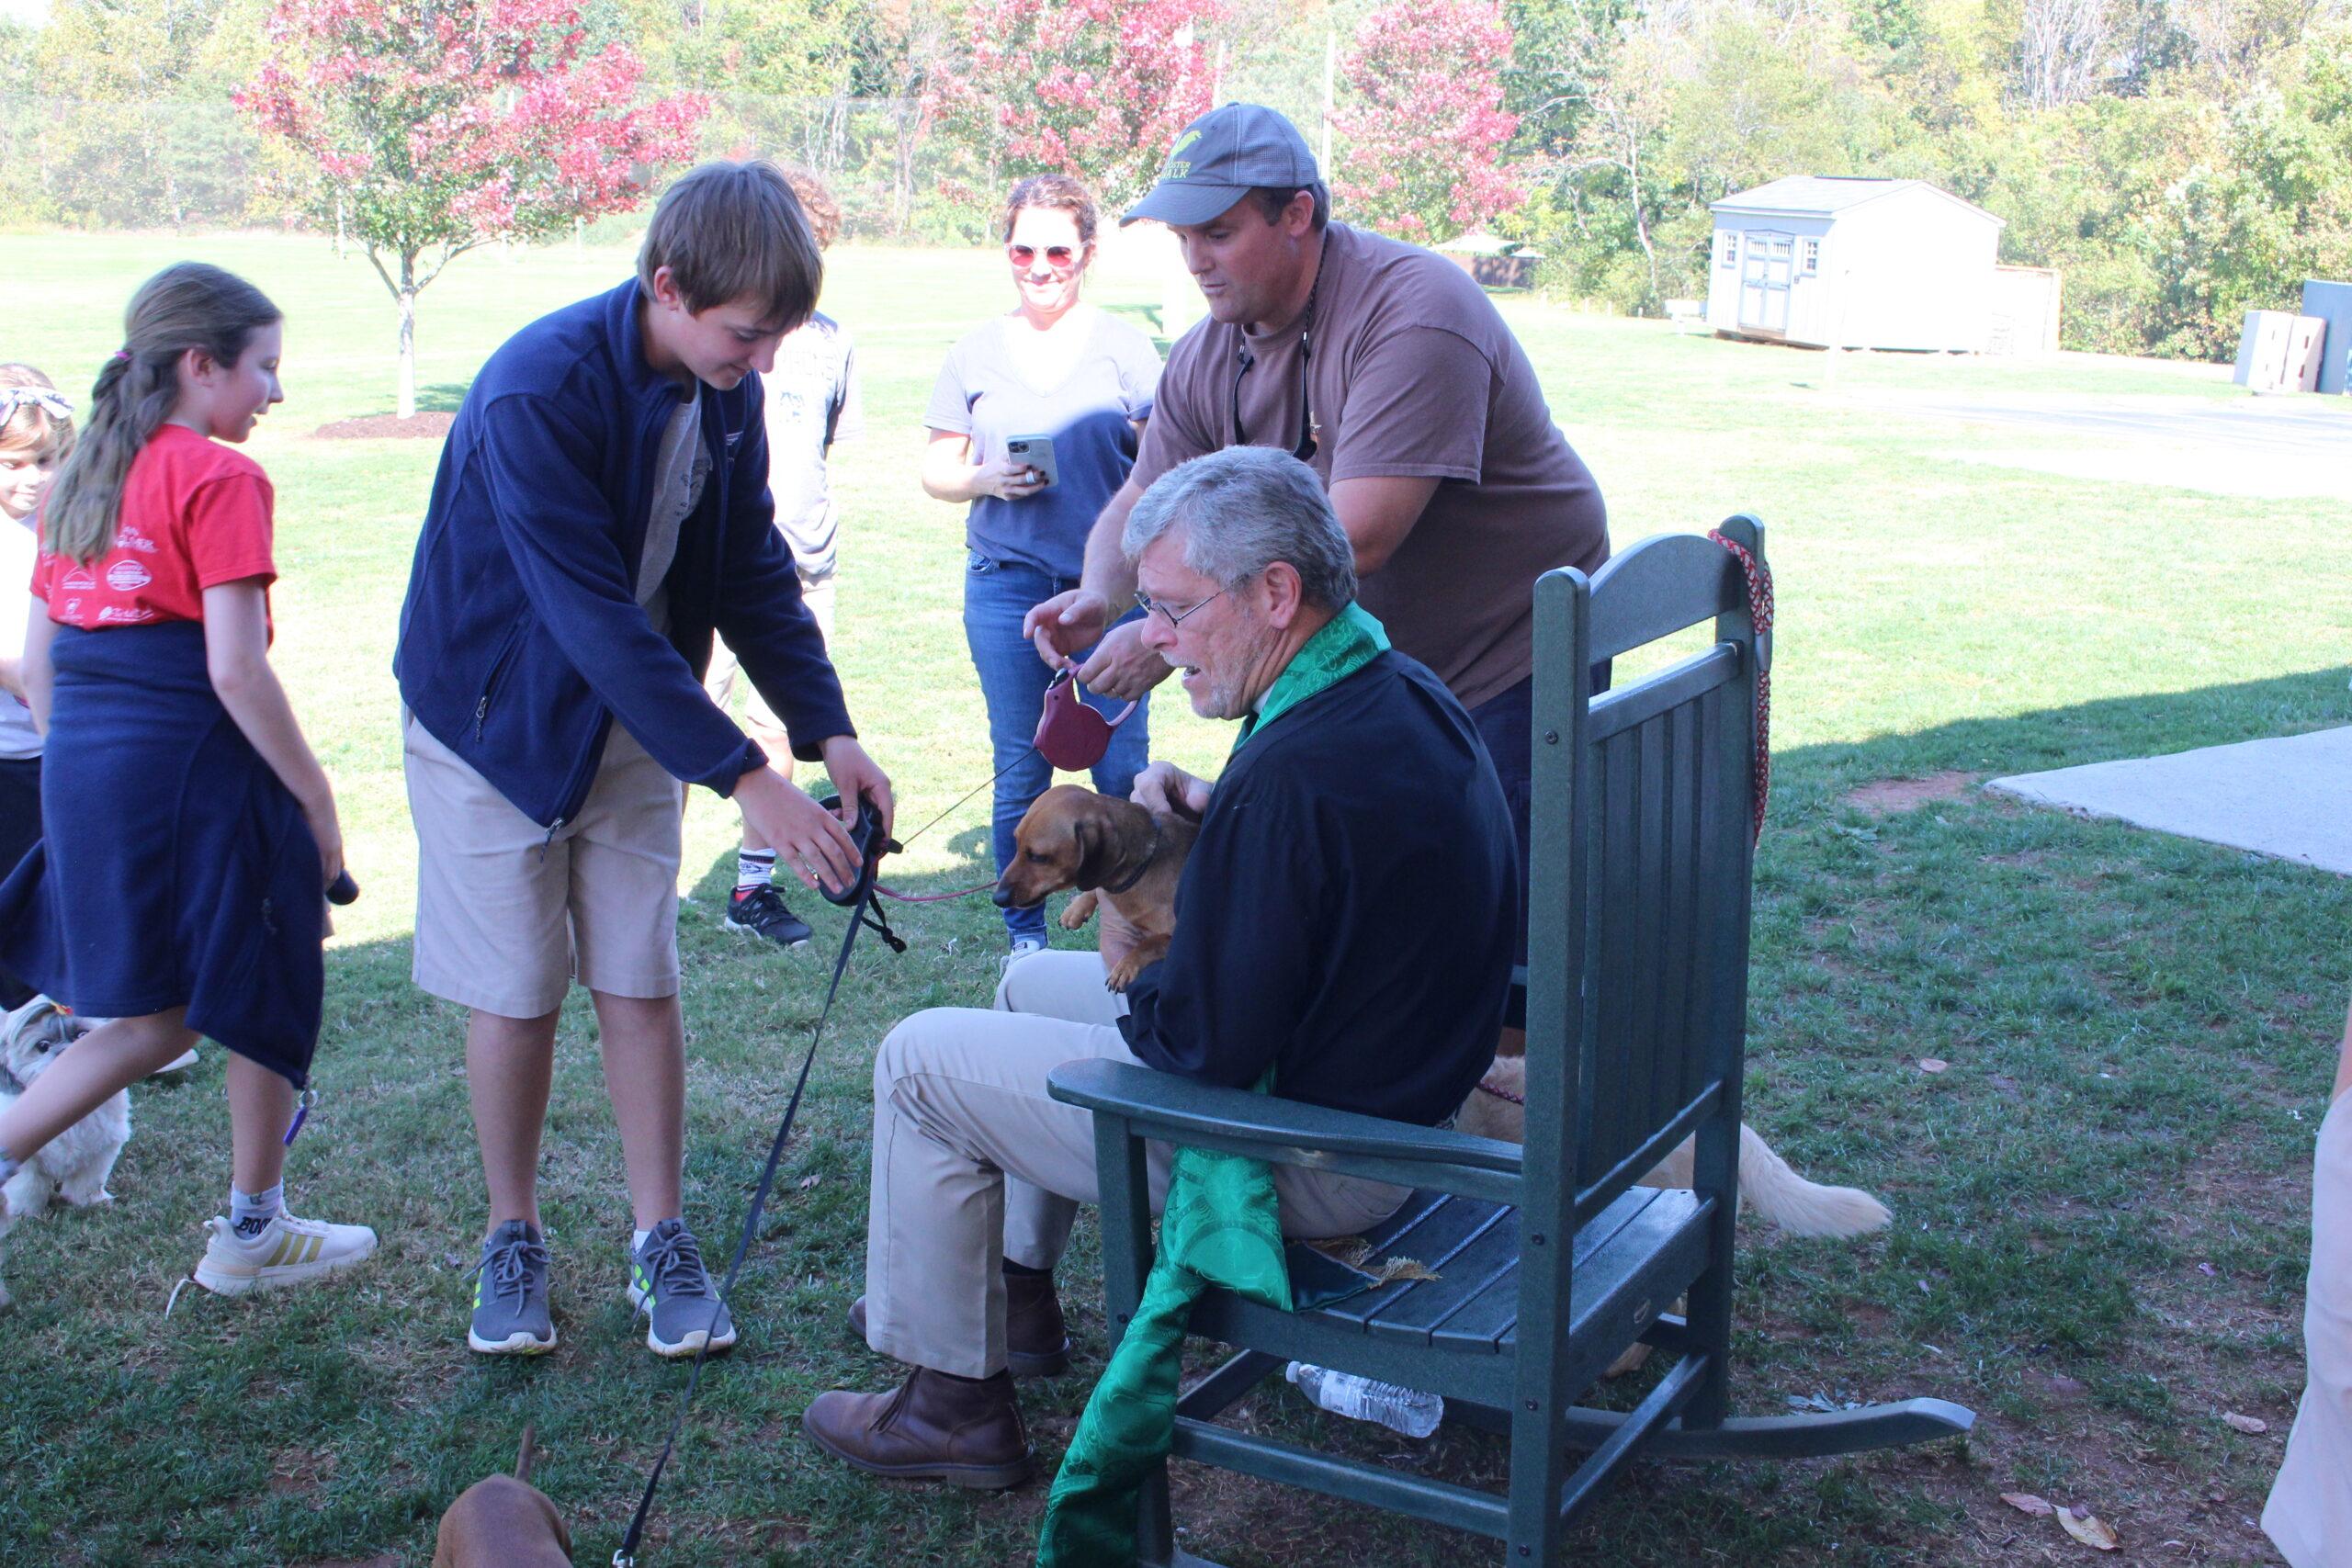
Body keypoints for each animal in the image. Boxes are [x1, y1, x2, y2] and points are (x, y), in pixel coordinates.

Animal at [0, 995, 129, 1308]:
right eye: (43, 1046)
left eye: (83, 1036)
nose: (66, 1054)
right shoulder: (24, 1162)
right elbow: (28, 1186)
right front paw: (26, 1212)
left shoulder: (103, 1147)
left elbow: (87, 1182)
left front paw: (90, 1201)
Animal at [996, 785, 1199, 991]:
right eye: (1016, 842)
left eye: (1038, 857)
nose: (997, 898)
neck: (1145, 867)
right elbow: (1094, 888)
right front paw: (1076, 909)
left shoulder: (1178, 938)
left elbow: (1151, 943)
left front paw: (1126, 965)